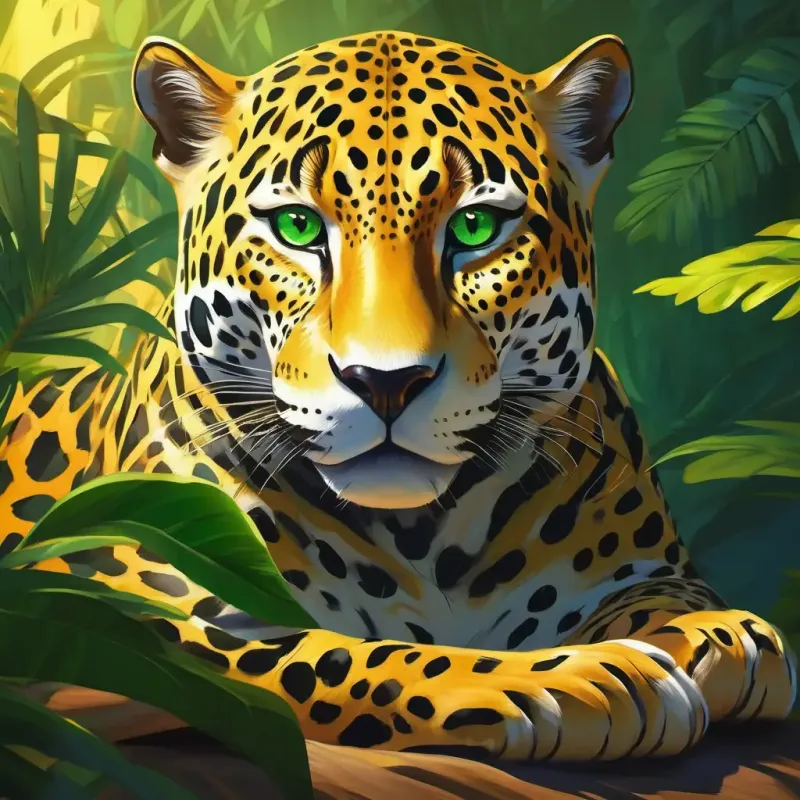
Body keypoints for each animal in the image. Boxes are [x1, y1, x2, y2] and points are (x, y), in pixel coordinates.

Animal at [1, 29, 796, 763]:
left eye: (476, 226)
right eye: (296, 225)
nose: (386, 382)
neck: (424, 541)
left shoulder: (643, 569)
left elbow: (677, 600)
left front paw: (711, 636)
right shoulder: (156, 613)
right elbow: (357, 658)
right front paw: (573, 680)